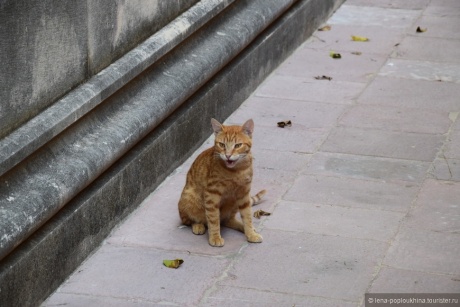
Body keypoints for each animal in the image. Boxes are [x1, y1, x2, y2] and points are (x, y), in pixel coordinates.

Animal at [180, 118, 266, 248]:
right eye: (222, 145)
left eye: (238, 145)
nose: (228, 155)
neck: (236, 171)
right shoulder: (212, 194)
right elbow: (213, 218)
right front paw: (215, 237)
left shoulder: (244, 193)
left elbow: (247, 216)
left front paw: (250, 233)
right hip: (189, 197)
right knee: (189, 220)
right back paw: (198, 225)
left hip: (234, 202)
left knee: (227, 220)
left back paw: (242, 227)